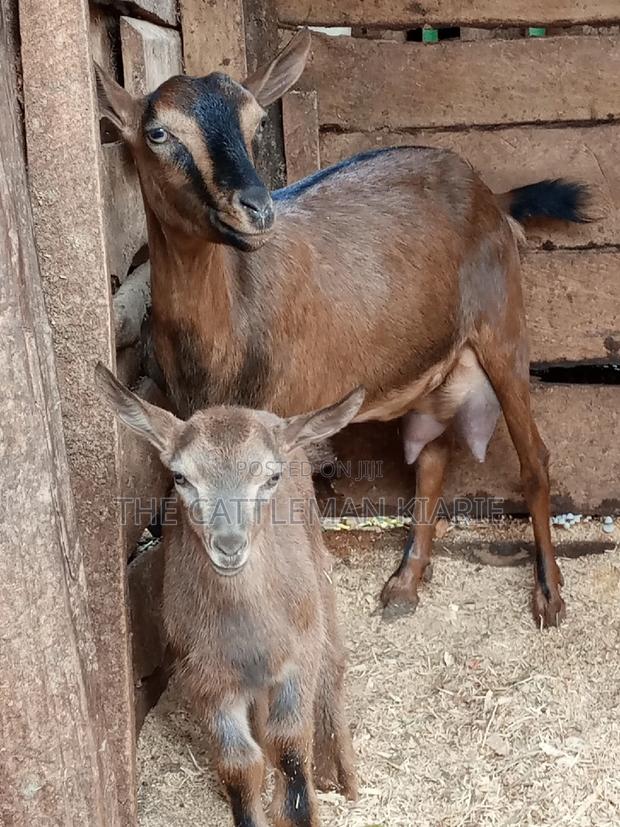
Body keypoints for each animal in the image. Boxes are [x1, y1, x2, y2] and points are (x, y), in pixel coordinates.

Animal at [95, 30, 590, 628]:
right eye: (158, 132)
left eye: (255, 123)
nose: (256, 210)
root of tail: (490, 193)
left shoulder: (284, 427)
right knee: (432, 459)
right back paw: (405, 584)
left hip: (503, 327)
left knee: (534, 457)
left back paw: (549, 594)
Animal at [96, 363, 361, 827]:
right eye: (181, 477)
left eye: (270, 477)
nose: (229, 545)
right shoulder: (206, 675)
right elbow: (240, 764)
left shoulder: (298, 656)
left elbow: (290, 744)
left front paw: (300, 806)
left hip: (318, 577)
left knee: (332, 663)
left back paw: (341, 772)